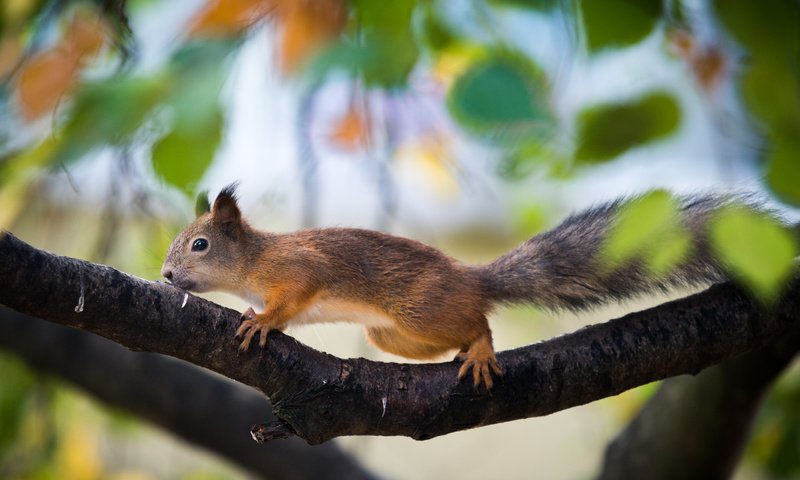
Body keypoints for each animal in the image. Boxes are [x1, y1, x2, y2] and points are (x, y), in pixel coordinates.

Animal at [161, 184, 736, 390]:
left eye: (199, 245)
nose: (165, 276)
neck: (254, 260)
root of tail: (472, 278)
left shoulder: (300, 269)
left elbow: (289, 301)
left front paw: (261, 322)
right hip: (392, 335)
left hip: (422, 309)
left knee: (479, 320)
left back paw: (480, 349)